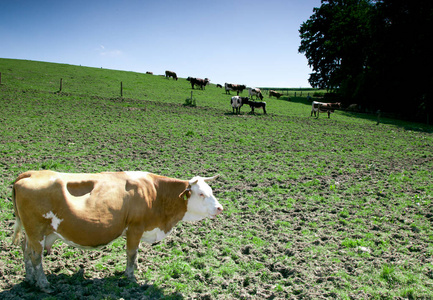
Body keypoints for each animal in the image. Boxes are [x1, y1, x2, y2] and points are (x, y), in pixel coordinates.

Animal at [11, 171, 223, 292]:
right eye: (201, 194)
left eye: (211, 190)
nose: (220, 208)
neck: (155, 193)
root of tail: (29, 174)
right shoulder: (135, 228)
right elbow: (132, 252)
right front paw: (130, 276)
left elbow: (134, 254)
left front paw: (135, 269)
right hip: (36, 230)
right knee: (36, 256)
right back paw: (43, 284)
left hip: (31, 233)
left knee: (26, 251)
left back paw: (30, 279)